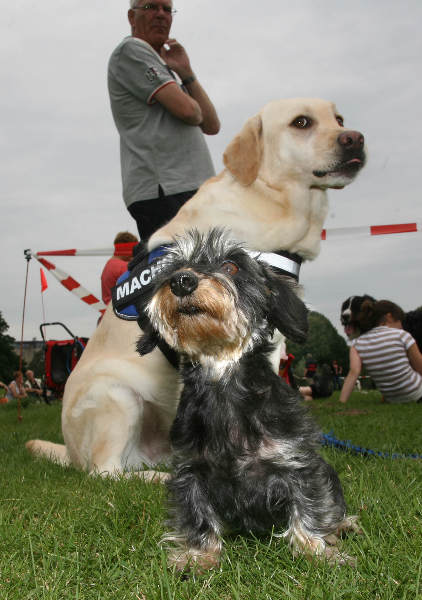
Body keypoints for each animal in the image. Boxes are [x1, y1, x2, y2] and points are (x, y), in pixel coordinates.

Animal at [138, 230, 360, 572]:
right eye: (173, 268)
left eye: (231, 266)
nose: (182, 281)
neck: (223, 385)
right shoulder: (191, 470)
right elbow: (197, 514)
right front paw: (198, 555)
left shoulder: (298, 462)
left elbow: (310, 506)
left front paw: (317, 551)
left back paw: (343, 526)